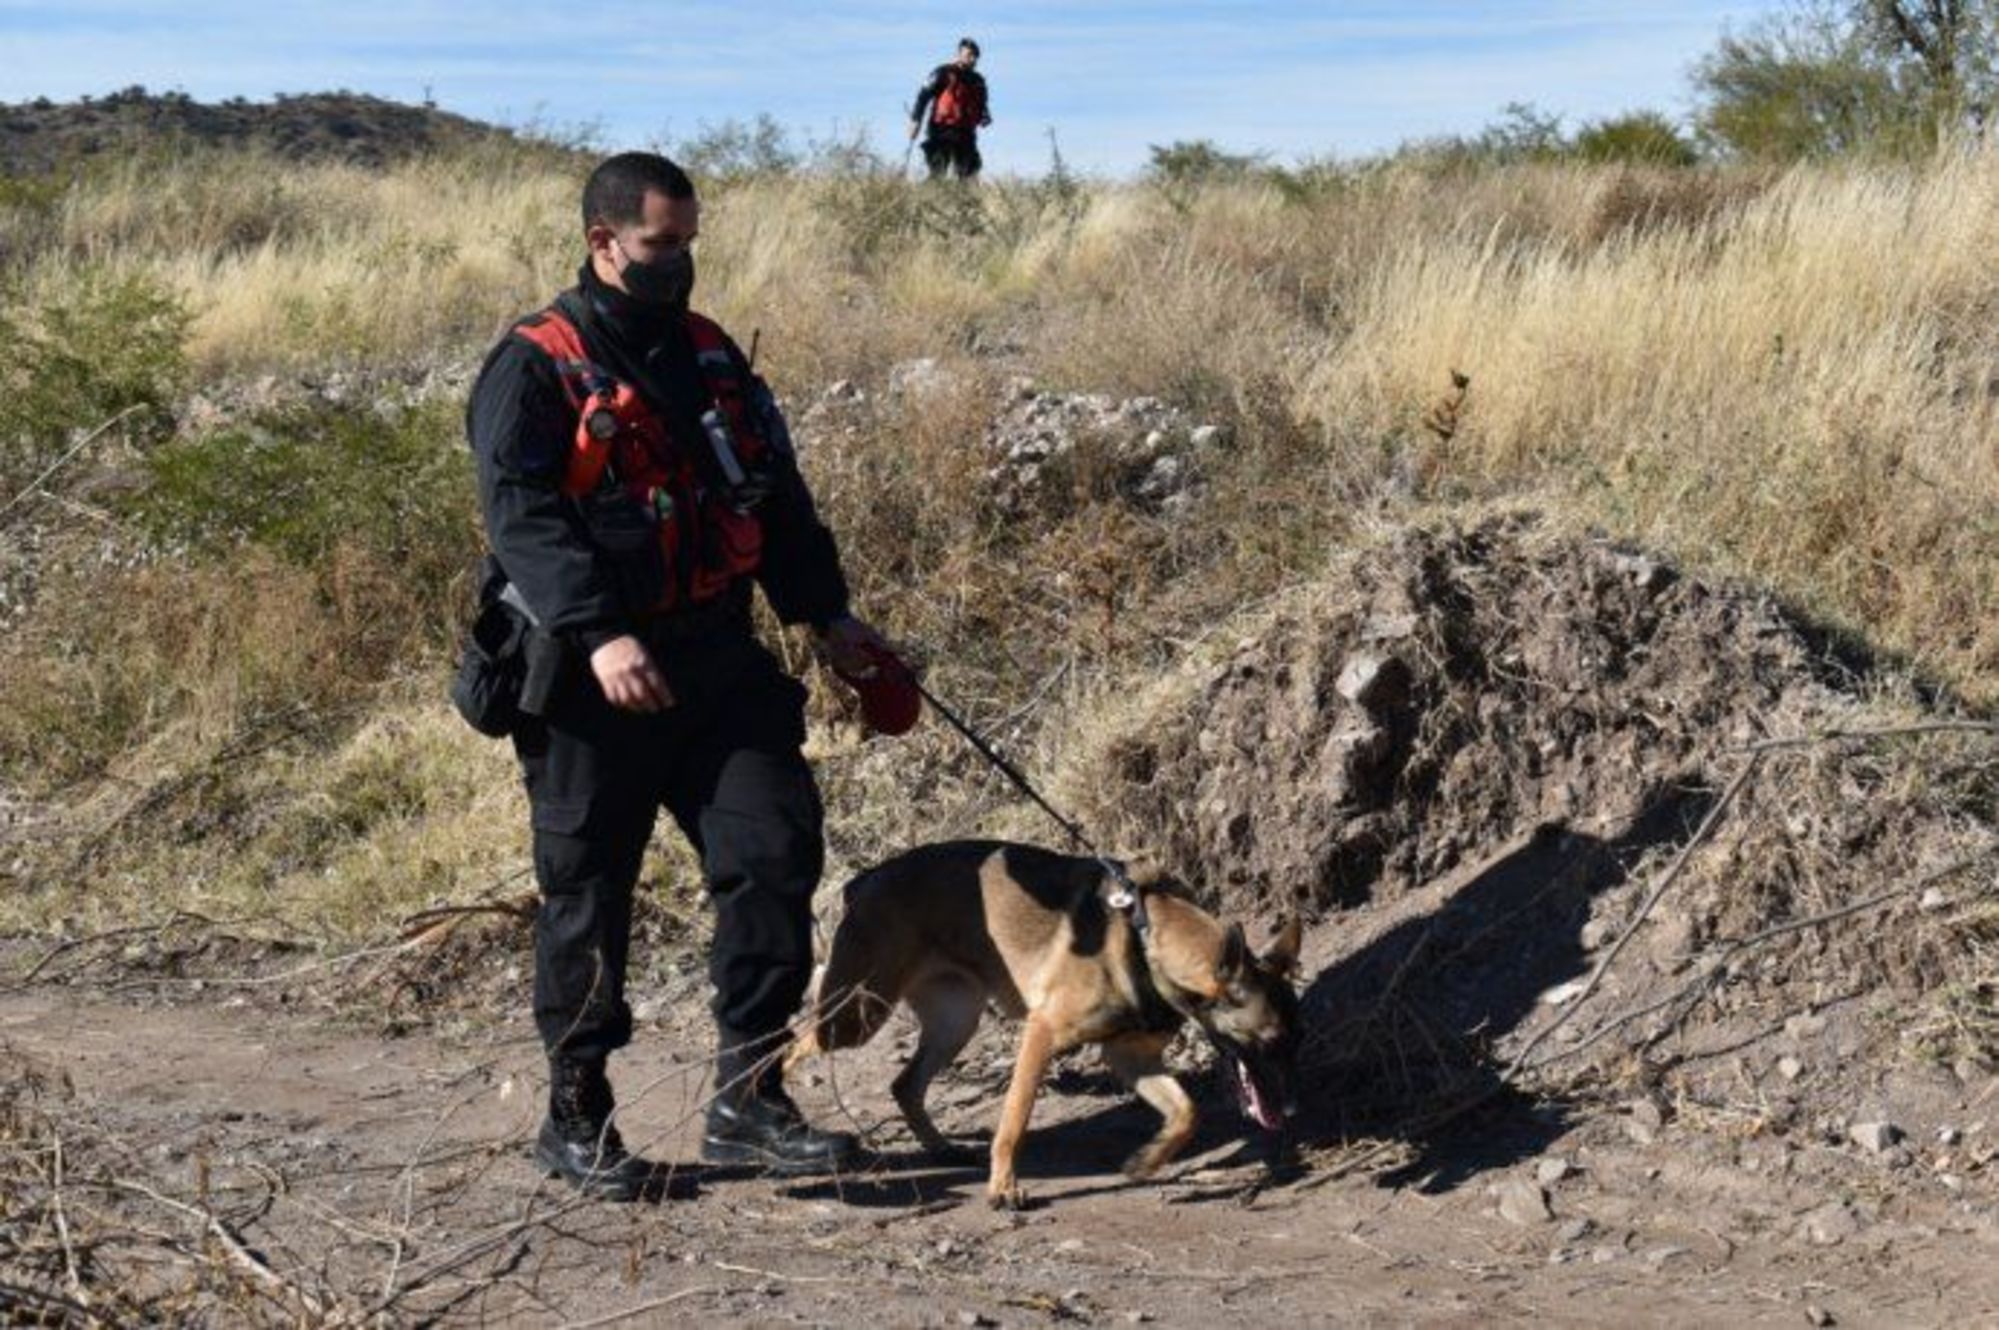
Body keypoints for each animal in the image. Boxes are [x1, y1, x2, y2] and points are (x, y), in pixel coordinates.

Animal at [779, 840, 1295, 1200]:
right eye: (1269, 1040)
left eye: (1293, 1040)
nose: (1285, 1113)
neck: (1148, 939)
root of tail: (865, 880)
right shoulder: (1041, 1035)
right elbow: (1014, 1120)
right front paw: (1003, 1187)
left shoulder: (1130, 1058)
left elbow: (1187, 1112)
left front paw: (1149, 1159)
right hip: (855, 1018)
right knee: (792, 1042)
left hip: (954, 1023)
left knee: (904, 1085)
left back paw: (942, 1148)